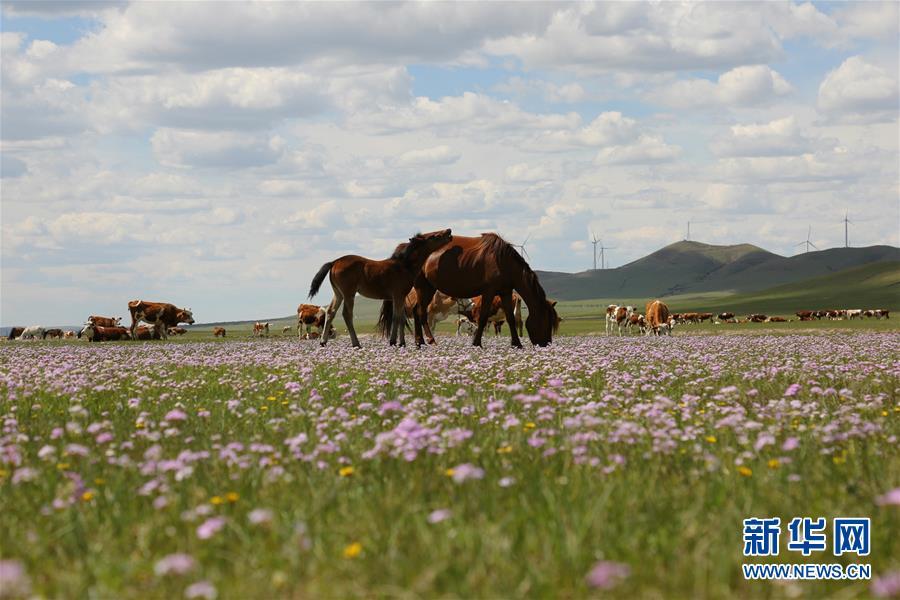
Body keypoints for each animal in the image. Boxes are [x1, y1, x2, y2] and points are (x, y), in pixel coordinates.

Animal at [310, 229, 454, 346]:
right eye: (434, 236)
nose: (449, 231)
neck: (404, 266)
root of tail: (334, 262)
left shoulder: (401, 297)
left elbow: (401, 318)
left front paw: (402, 343)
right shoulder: (398, 295)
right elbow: (396, 317)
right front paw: (393, 341)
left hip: (338, 293)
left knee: (330, 312)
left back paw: (323, 341)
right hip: (348, 294)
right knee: (347, 314)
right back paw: (356, 343)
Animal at [414, 233, 556, 346]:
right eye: (546, 321)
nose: (546, 344)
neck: (503, 262)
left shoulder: (505, 292)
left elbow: (510, 318)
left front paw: (517, 344)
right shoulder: (489, 292)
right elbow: (482, 318)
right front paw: (477, 344)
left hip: (428, 287)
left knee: (417, 311)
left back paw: (420, 342)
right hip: (424, 288)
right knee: (421, 312)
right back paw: (430, 340)